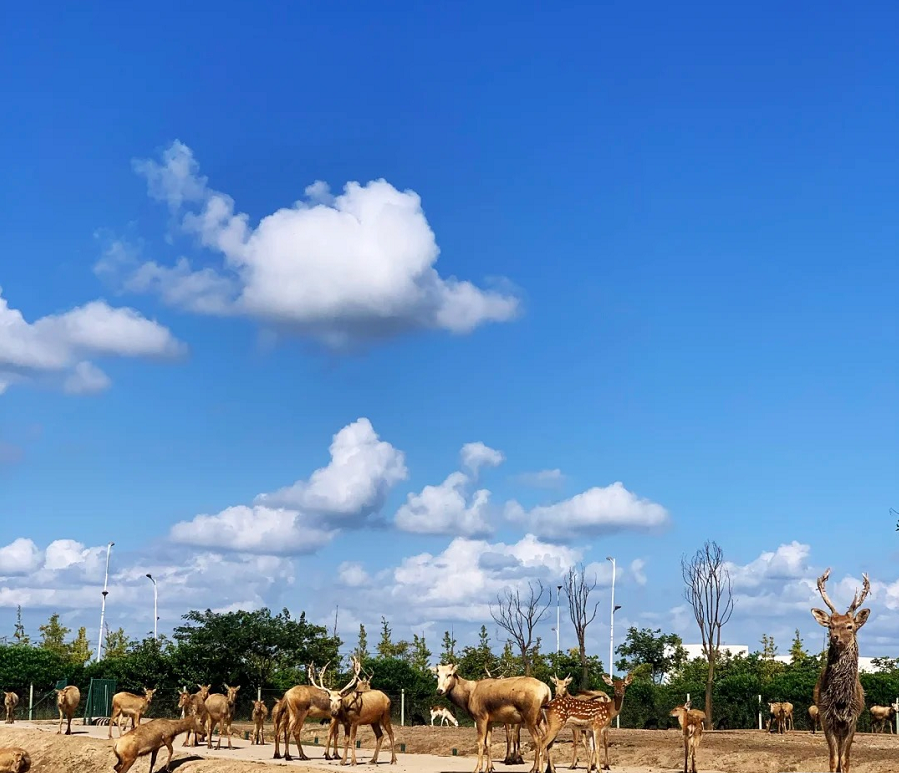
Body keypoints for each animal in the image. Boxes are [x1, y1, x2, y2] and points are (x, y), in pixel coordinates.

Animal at [811, 567, 871, 772]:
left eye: (850, 626)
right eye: (830, 625)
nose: (835, 637)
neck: (841, 701)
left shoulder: (852, 720)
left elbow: (845, 760)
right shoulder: (826, 718)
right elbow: (833, 760)